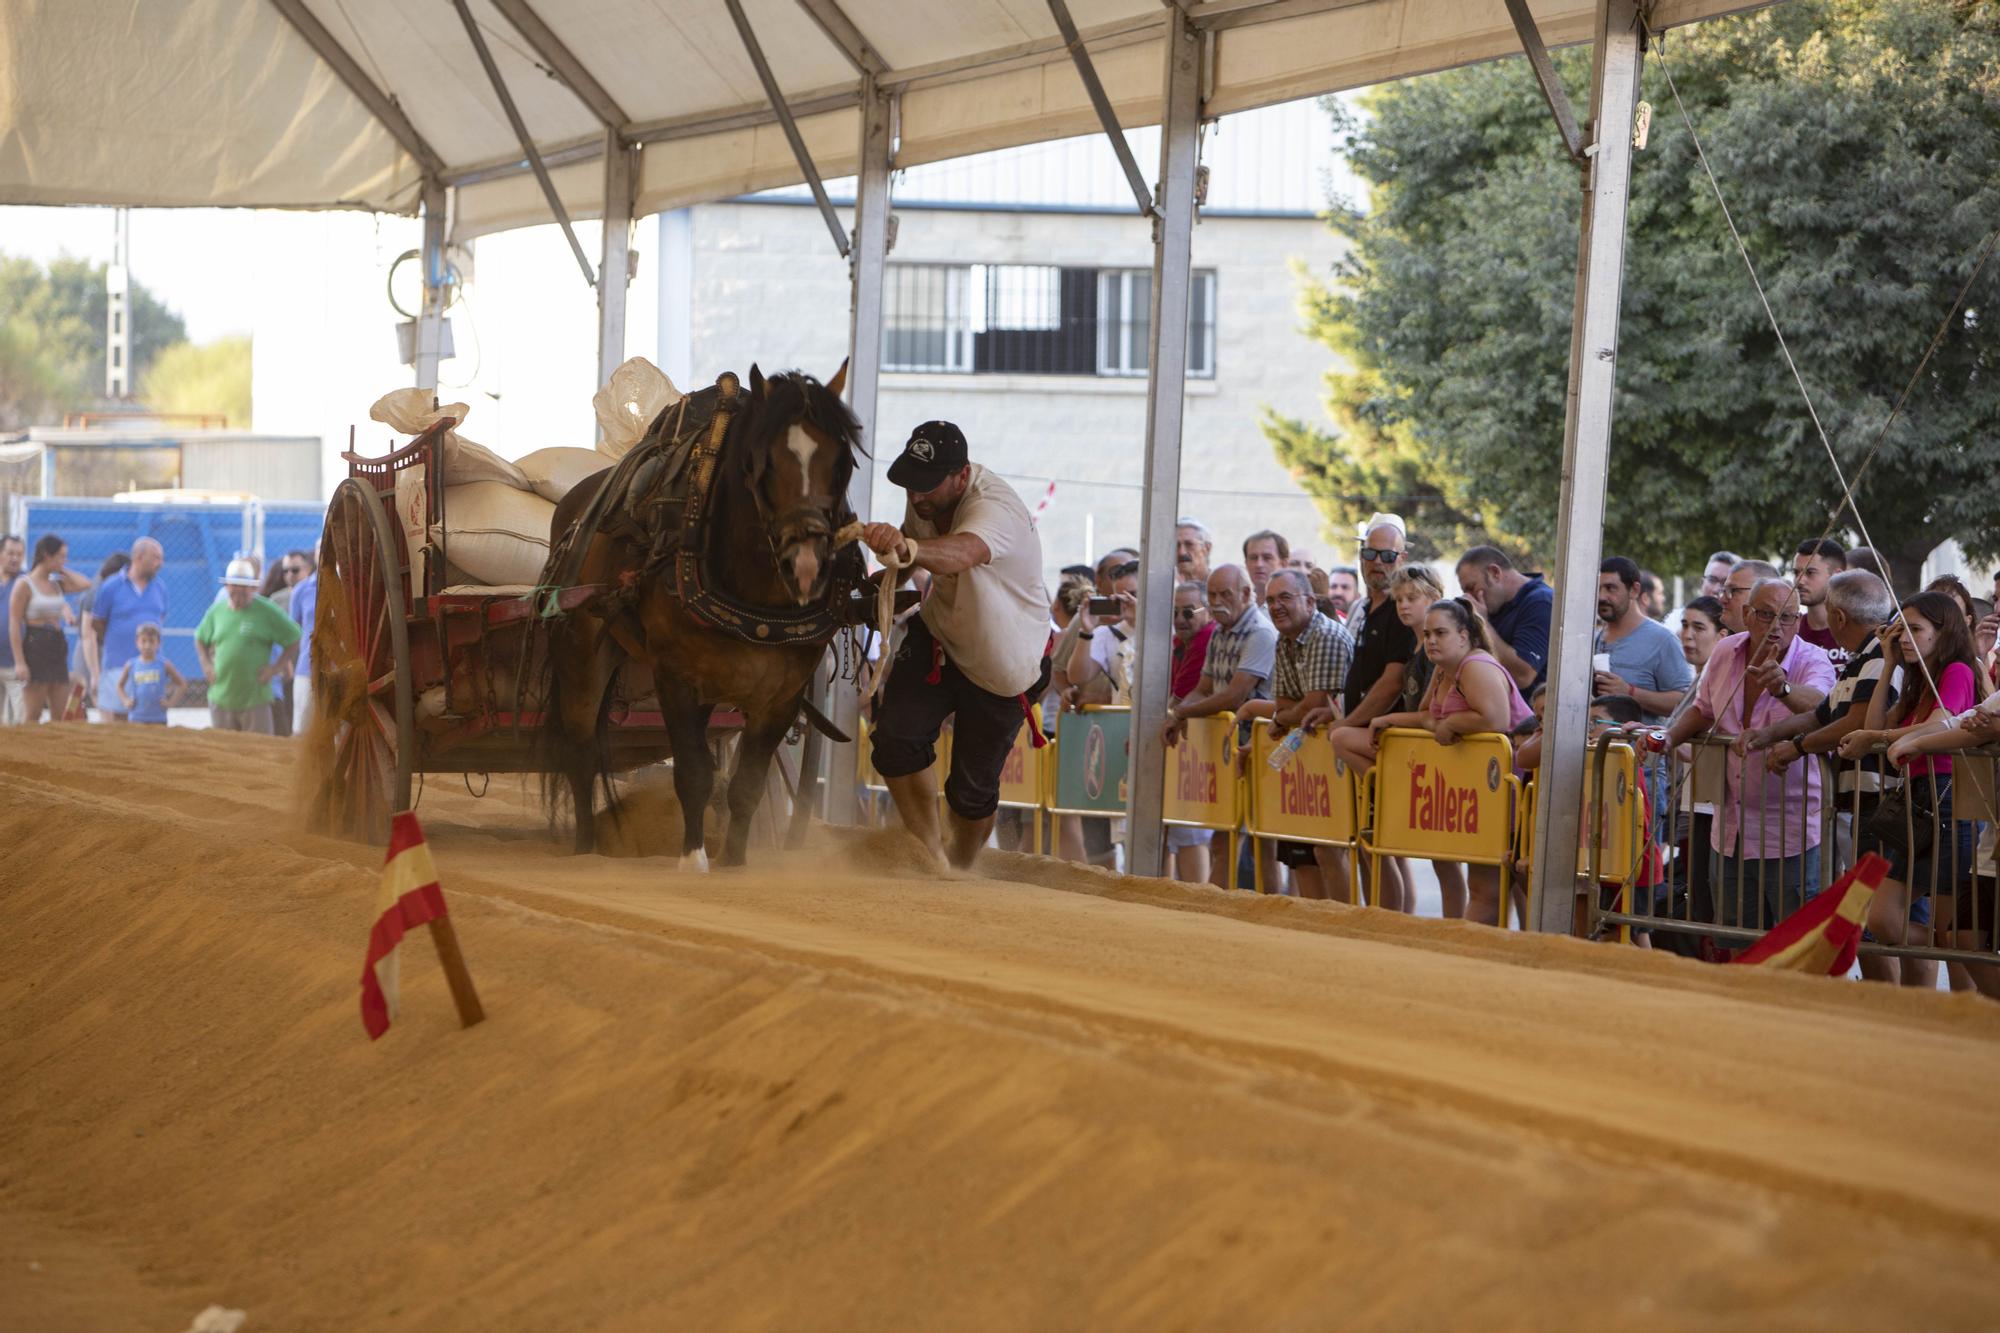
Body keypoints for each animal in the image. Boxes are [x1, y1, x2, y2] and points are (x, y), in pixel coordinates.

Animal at [540, 358, 860, 868]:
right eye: (761, 461)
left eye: (843, 462)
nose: (807, 564)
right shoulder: (675, 676)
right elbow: (693, 774)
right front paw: (693, 860)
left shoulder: (784, 696)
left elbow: (746, 787)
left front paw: (734, 864)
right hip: (580, 655)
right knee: (582, 755)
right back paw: (585, 850)